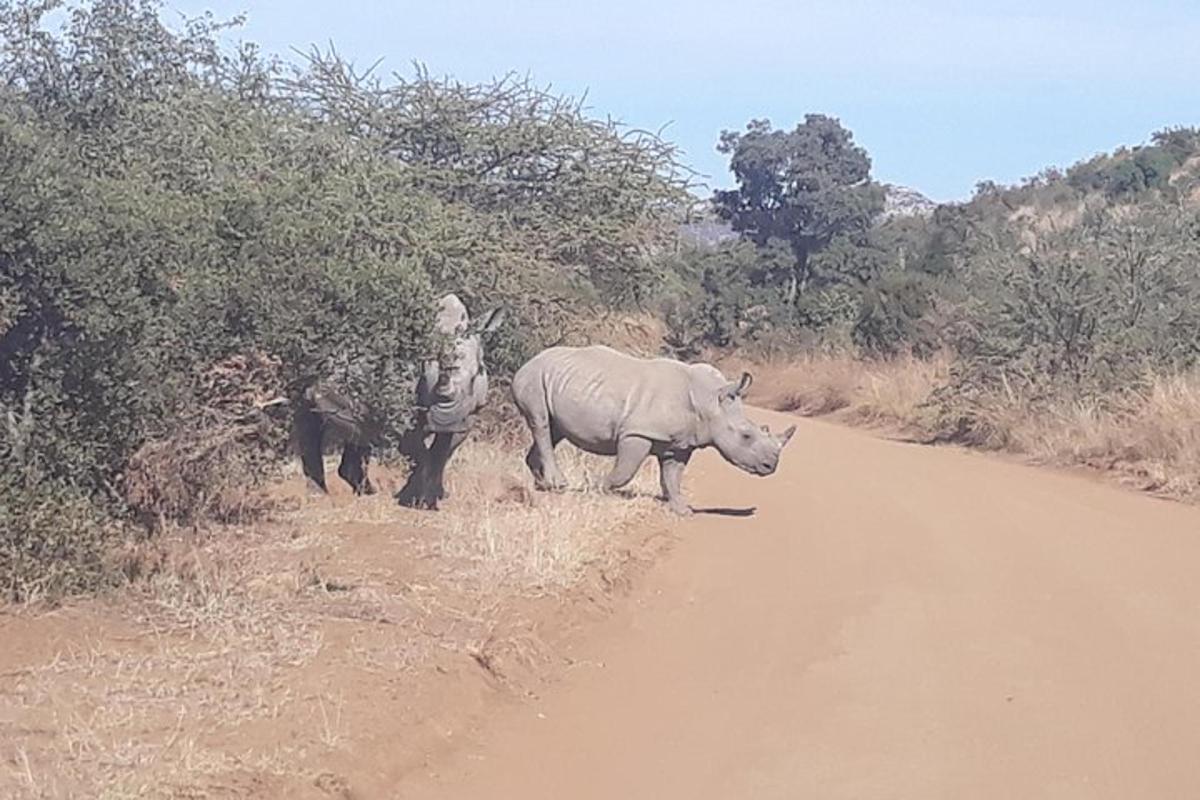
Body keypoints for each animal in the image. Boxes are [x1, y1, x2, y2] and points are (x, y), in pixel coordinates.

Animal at [295, 292, 501, 506]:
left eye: (477, 373)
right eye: (425, 376)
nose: (447, 419)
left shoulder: (468, 417)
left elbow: (441, 454)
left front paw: (432, 496)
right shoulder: (400, 417)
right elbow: (420, 454)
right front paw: (417, 499)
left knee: (360, 425)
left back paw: (367, 492)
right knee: (307, 414)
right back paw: (320, 496)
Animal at [508, 345, 796, 513]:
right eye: (746, 435)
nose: (771, 467)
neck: (710, 401)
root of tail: (529, 359)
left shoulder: (681, 442)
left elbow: (672, 475)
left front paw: (682, 509)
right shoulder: (638, 432)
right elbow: (625, 471)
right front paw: (596, 486)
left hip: (553, 378)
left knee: (553, 430)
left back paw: (542, 485)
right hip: (534, 377)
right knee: (542, 423)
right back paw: (559, 485)